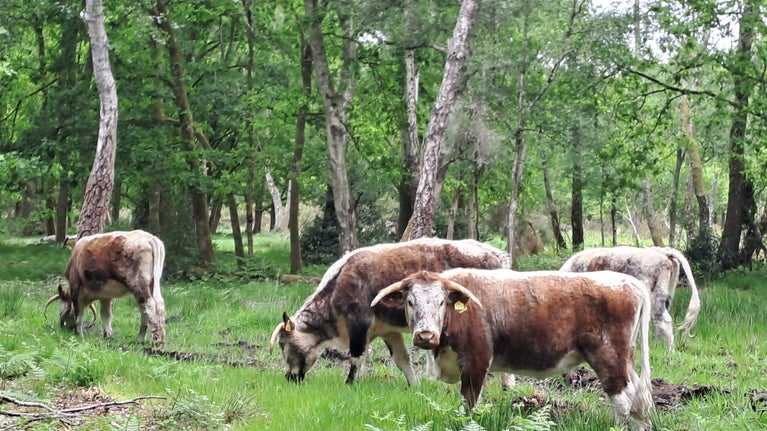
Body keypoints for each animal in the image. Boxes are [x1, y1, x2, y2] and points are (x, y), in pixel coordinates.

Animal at [269, 238, 511, 385]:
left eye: (283, 344)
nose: (289, 377)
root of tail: (496, 253)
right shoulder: (388, 330)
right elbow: (402, 360)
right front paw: (415, 387)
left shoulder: (358, 323)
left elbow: (356, 357)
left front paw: (349, 383)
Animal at [371, 269, 653, 431]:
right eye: (410, 302)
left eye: (441, 302)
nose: (426, 335)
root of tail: (627, 281)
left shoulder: (476, 362)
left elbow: (469, 406)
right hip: (625, 359)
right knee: (638, 400)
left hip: (608, 357)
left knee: (622, 401)